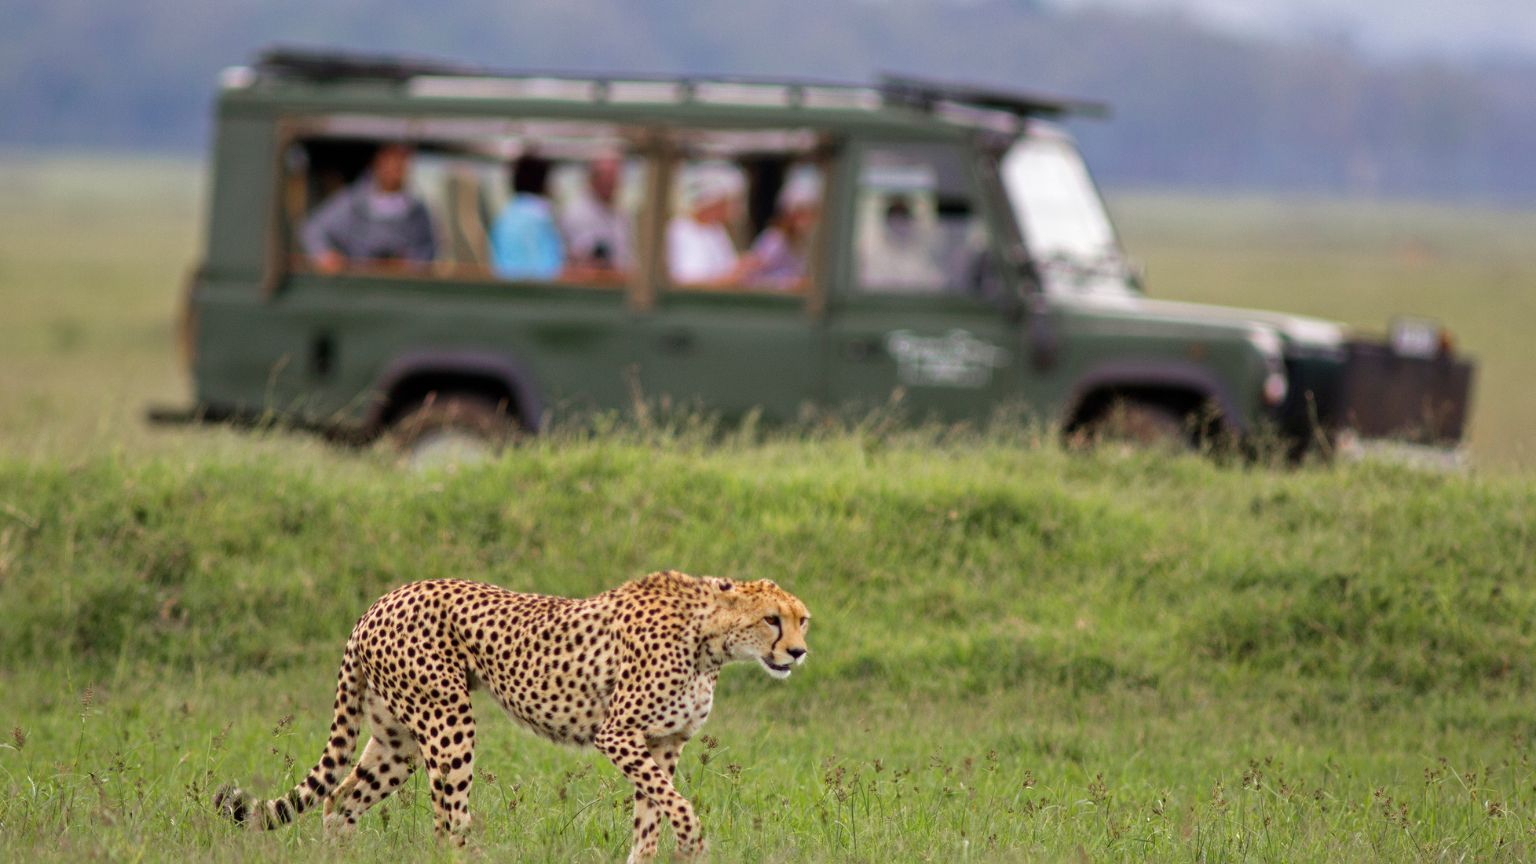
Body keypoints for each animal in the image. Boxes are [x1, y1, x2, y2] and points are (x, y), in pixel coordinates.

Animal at [218, 568, 817, 854]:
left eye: (802, 620)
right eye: (771, 619)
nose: (798, 652)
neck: (710, 640)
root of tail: (379, 602)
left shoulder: (661, 745)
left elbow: (651, 818)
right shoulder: (619, 735)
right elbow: (680, 808)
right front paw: (693, 843)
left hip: (397, 740)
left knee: (339, 801)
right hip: (449, 721)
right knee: (447, 822)